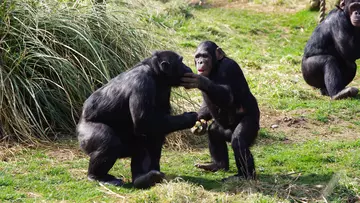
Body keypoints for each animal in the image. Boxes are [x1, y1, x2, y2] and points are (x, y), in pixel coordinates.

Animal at [77, 50, 198, 189]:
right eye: (181, 61)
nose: (187, 67)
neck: (156, 74)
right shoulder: (142, 82)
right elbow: (143, 121)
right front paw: (189, 118)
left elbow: (156, 126)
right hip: (86, 132)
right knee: (109, 143)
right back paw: (97, 176)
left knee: (142, 143)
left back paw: (144, 178)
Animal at [181, 40, 260, 180]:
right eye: (198, 56)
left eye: (205, 56)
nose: (200, 62)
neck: (215, 68)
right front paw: (198, 120)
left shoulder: (229, 68)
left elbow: (228, 96)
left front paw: (200, 81)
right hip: (225, 132)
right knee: (214, 131)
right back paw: (217, 165)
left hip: (252, 127)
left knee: (238, 141)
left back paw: (245, 176)